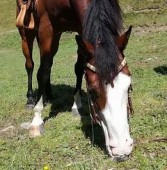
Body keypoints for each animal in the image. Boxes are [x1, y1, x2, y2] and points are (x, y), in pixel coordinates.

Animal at [16, 0, 134, 161]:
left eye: (129, 87)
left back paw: (49, 94)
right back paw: (30, 99)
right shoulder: (46, 28)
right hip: (27, 31)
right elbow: (42, 72)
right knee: (31, 65)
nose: (122, 149)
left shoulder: (81, 29)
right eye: (92, 91)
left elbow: (79, 68)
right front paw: (36, 120)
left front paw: (76, 105)